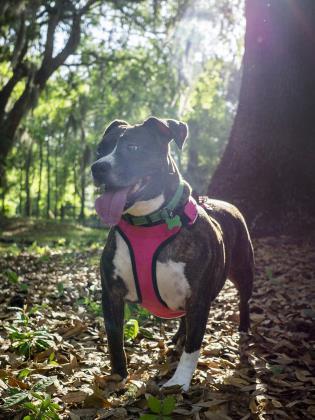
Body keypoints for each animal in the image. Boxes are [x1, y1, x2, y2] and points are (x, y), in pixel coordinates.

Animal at [90, 116, 254, 392]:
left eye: (133, 148)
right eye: (100, 149)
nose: (97, 167)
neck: (147, 222)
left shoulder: (198, 298)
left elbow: (193, 347)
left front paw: (179, 382)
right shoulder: (111, 293)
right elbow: (114, 338)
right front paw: (118, 376)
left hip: (244, 273)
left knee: (243, 302)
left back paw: (242, 330)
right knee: (183, 319)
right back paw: (178, 336)